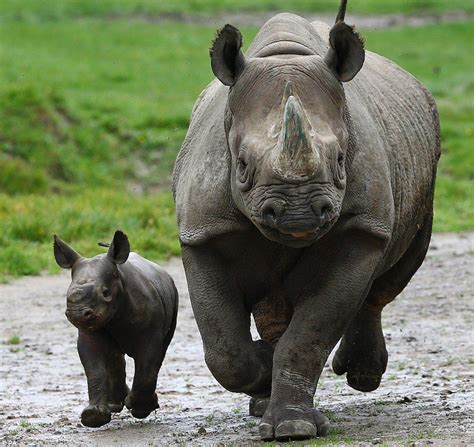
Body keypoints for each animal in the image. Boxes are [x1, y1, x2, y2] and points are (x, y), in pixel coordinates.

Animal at [52, 231, 178, 428]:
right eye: (68, 293)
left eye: (106, 294)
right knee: (114, 356)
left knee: (159, 353)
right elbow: (94, 368)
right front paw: (93, 417)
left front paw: (141, 409)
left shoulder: (151, 335)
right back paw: (115, 405)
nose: (76, 313)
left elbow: (147, 367)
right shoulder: (89, 331)